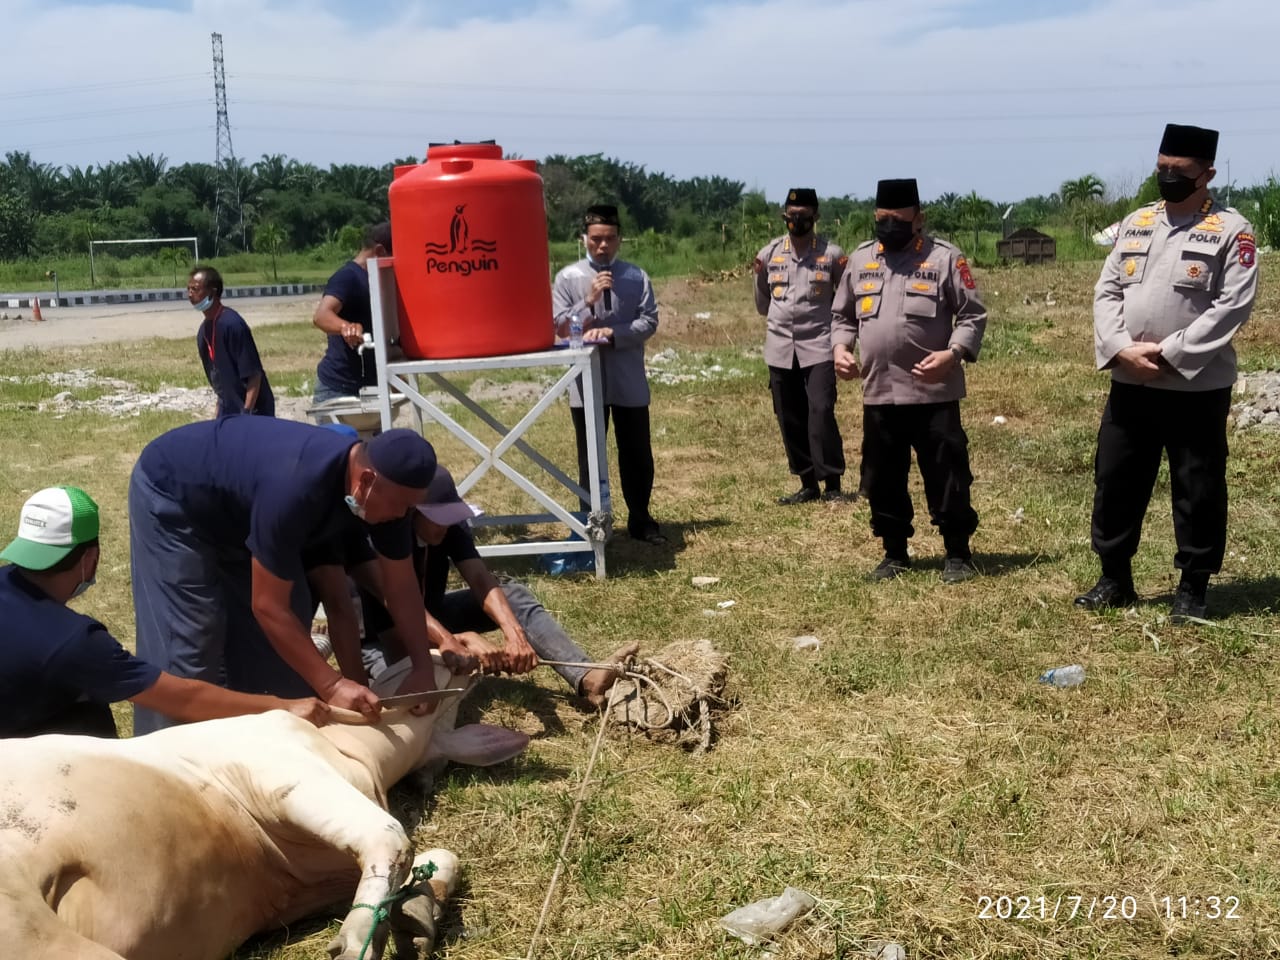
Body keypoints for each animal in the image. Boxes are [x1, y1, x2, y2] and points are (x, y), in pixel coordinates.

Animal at [0, 660, 529, 960]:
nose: (468, 653)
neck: (361, 754)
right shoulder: (281, 770)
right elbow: (392, 835)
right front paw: (359, 937)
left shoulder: (308, 877)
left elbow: (436, 856)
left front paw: (415, 912)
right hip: (29, 923)